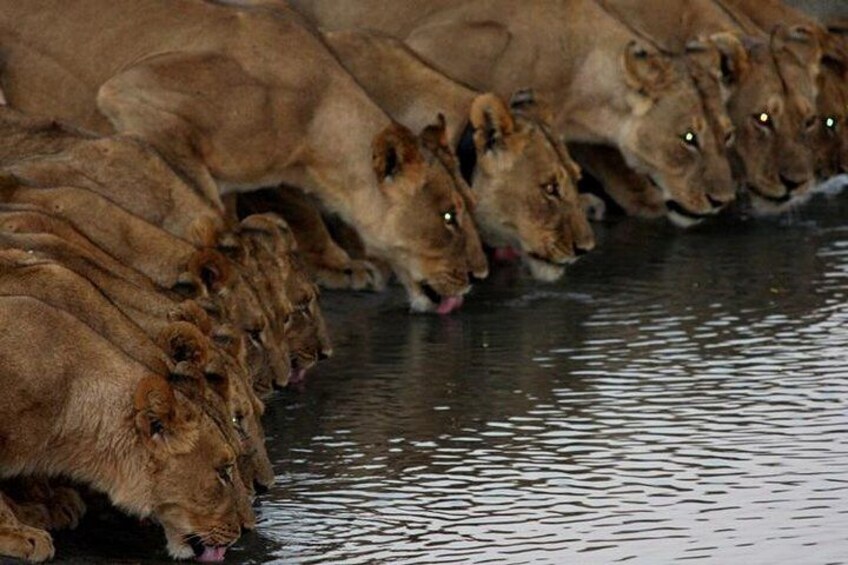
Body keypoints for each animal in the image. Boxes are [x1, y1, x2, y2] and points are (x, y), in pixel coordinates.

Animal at [0, 0, 490, 312]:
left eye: (471, 206)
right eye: (449, 217)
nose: (479, 277)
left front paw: (334, 265)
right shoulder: (136, 95)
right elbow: (206, 207)